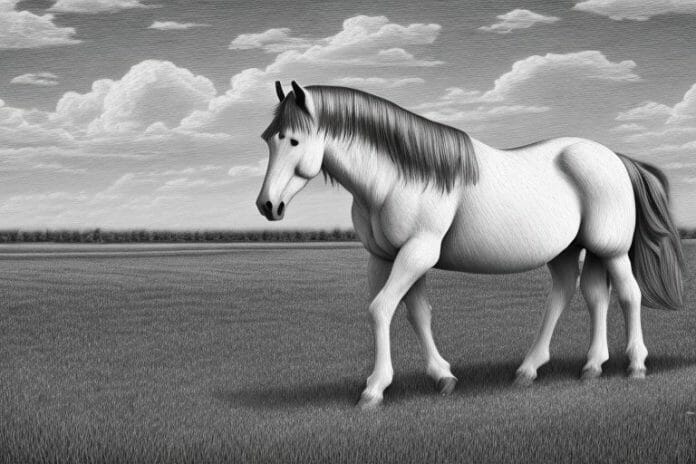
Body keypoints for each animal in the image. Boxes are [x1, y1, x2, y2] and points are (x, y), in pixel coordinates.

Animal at [256, 81, 685, 409]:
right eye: (268, 139)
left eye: (293, 140)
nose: (267, 206)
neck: (396, 178)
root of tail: (614, 157)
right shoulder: (386, 257)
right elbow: (416, 314)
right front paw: (442, 376)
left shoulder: (417, 252)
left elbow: (381, 310)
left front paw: (374, 390)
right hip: (572, 250)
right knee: (584, 295)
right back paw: (567, 368)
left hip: (611, 249)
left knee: (627, 295)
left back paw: (634, 366)